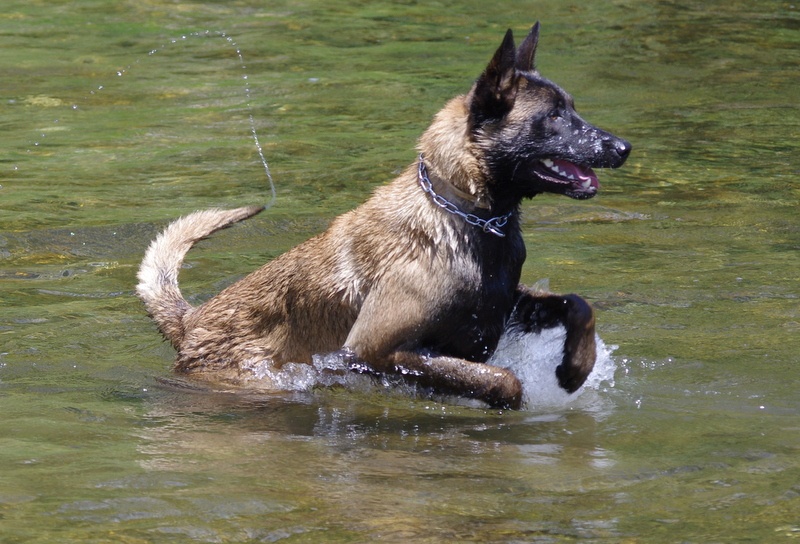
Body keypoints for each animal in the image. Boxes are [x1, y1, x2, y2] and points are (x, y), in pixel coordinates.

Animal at [141, 23, 636, 410]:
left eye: (572, 109)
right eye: (554, 116)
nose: (623, 147)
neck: (466, 213)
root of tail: (190, 320)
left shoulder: (507, 304)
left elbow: (578, 304)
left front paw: (576, 367)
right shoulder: (371, 349)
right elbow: (503, 380)